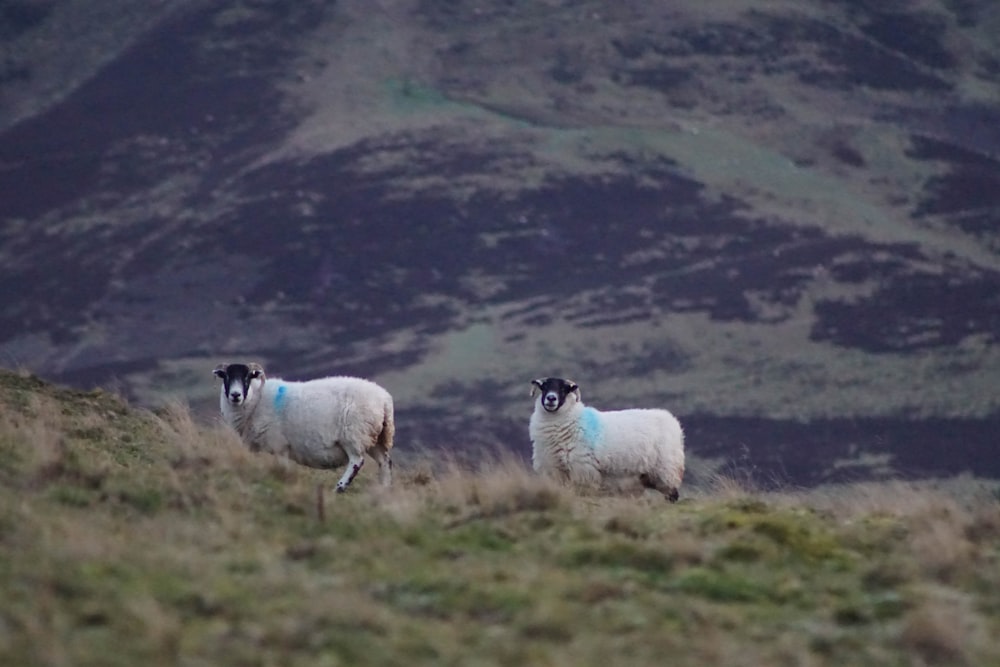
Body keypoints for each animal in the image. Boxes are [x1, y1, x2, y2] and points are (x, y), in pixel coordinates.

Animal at [214, 362, 394, 494]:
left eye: (247, 377)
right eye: (226, 376)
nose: (235, 395)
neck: (256, 399)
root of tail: (385, 399)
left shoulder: (279, 445)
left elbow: (282, 466)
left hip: (354, 435)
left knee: (357, 461)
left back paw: (339, 487)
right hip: (375, 438)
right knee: (384, 462)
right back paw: (383, 488)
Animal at [528, 376, 684, 500]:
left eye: (564, 389)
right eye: (544, 387)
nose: (551, 398)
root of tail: (671, 419)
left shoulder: (582, 470)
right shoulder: (554, 470)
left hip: (665, 469)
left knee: (672, 493)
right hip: (645, 475)